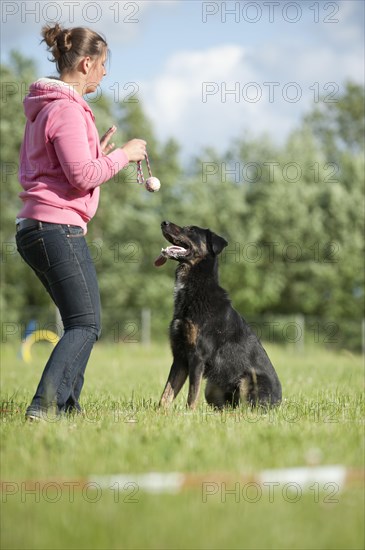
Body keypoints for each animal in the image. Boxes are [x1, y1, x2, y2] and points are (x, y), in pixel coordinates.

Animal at [154, 221, 282, 410]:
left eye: (191, 229)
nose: (164, 222)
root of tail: (279, 402)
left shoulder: (197, 357)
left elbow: (192, 395)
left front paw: (188, 414)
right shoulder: (179, 357)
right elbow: (166, 394)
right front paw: (160, 413)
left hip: (247, 380)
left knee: (245, 409)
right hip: (212, 388)